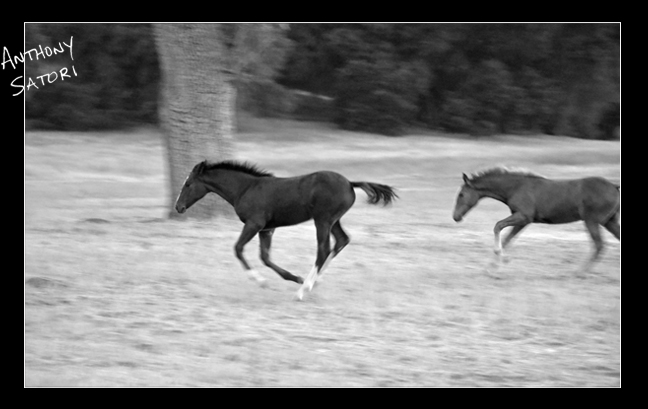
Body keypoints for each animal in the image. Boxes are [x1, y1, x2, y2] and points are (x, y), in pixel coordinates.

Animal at [175, 160, 398, 299]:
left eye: (188, 184)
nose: (178, 207)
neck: (245, 189)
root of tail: (351, 183)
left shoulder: (254, 224)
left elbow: (238, 249)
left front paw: (261, 282)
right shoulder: (267, 229)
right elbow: (265, 257)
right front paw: (294, 278)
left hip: (323, 220)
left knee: (323, 250)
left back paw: (303, 290)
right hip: (333, 221)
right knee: (342, 240)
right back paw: (314, 282)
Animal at [452, 167, 620, 276]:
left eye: (461, 194)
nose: (455, 217)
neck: (516, 187)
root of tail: (614, 186)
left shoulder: (523, 217)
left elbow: (498, 226)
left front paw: (501, 259)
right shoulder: (523, 221)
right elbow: (507, 239)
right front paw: (492, 266)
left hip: (592, 221)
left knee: (599, 244)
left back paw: (580, 272)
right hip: (609, 221)